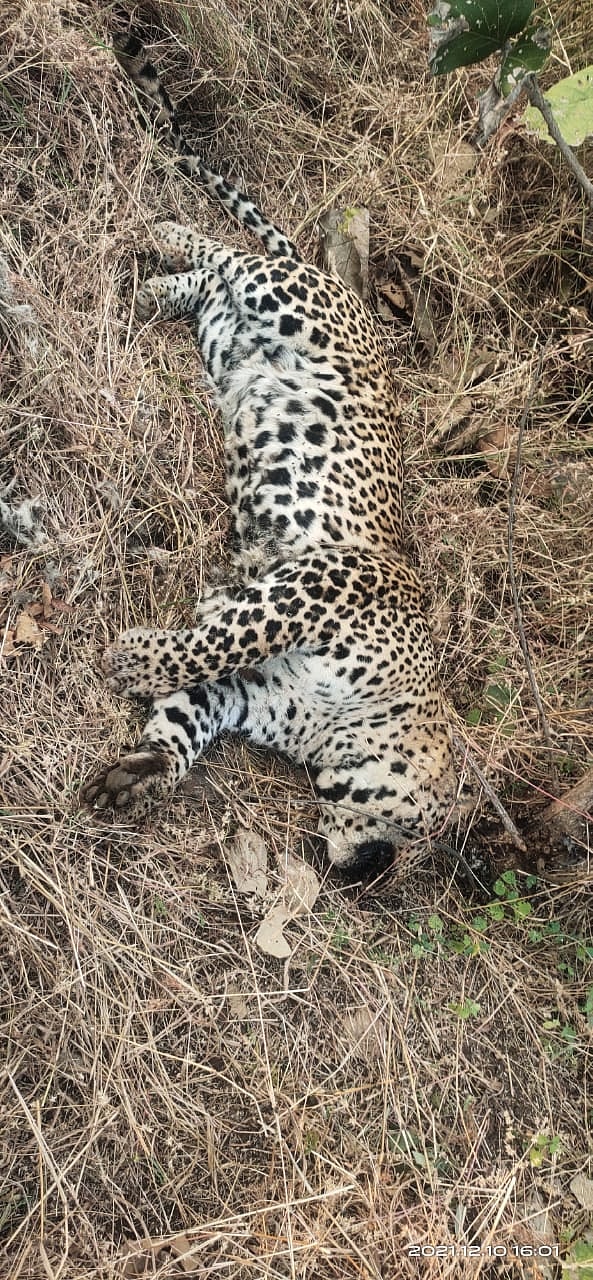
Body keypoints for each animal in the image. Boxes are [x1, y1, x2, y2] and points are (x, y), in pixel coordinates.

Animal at [81, 33, 461, 877]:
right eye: (416, 832)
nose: (359, 871)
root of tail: (339, 284)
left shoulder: (244, 689)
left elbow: (190, 702)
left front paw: (138, 774)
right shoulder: (322, 584)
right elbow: (220, 635)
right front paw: (137, 658)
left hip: (227, 330)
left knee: (205, 284)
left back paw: (146, 291)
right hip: (288, 299)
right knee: (225, 249)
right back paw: (159, 231)